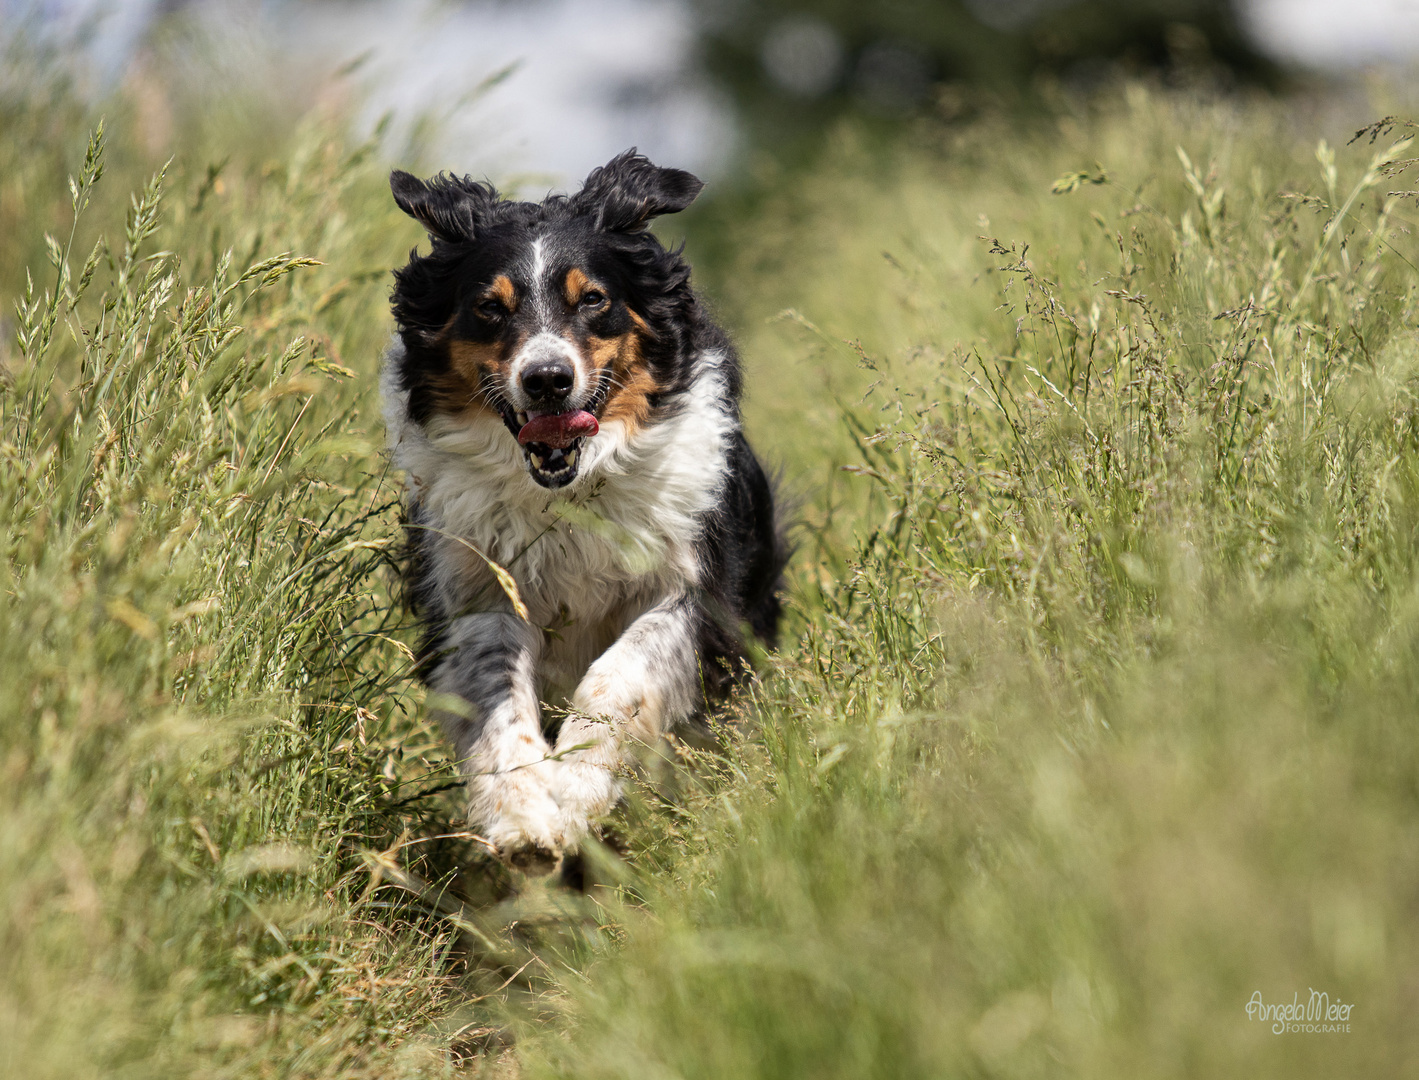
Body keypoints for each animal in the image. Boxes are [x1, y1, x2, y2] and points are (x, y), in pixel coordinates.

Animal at [383, 151, 788, 862]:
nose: (547, 379)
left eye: (593, 299)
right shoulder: (478, 589)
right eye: (489, 308)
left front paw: (574, 788)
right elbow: (496, 691)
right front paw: (523, 812)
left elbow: (614, 679)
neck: (570, 492)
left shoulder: (691, 588)